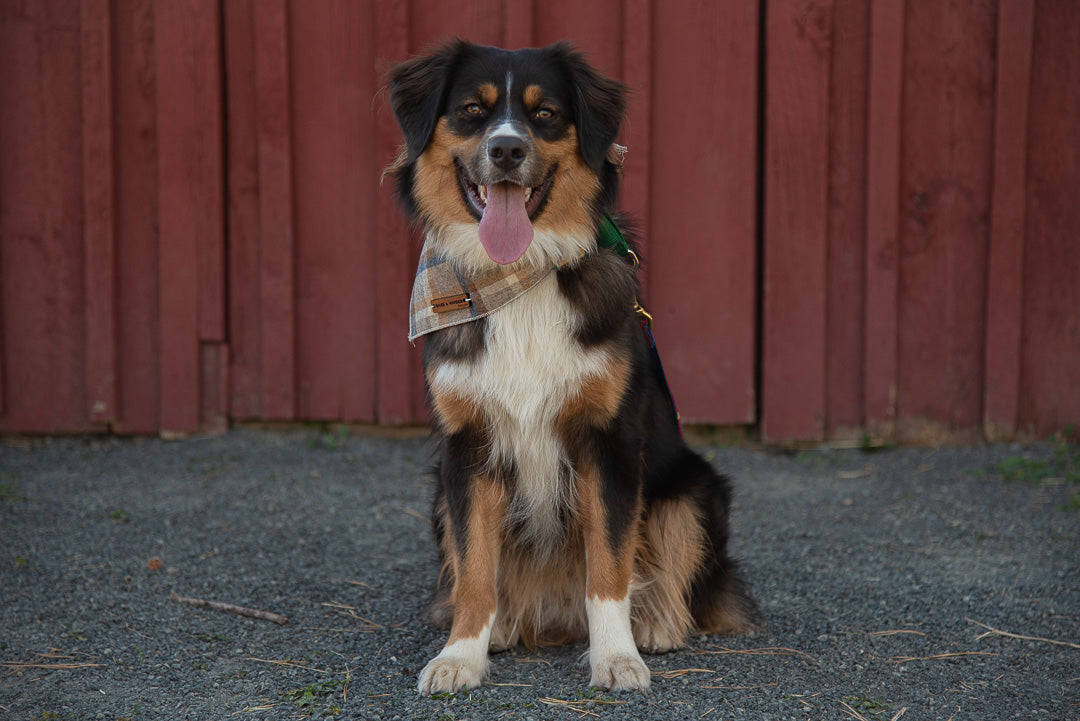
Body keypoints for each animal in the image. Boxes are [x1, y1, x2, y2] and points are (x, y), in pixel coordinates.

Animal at [388, 38, 760, 690]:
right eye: (471, 110)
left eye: (545, 115)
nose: (507, 150)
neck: (519, 276)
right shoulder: (467, 448)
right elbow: (475, 568)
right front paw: (461, 656)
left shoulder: (608, 441)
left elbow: (609, 567)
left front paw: (617, 658)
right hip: (438, 498)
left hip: (692, 489)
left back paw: (656, 624)